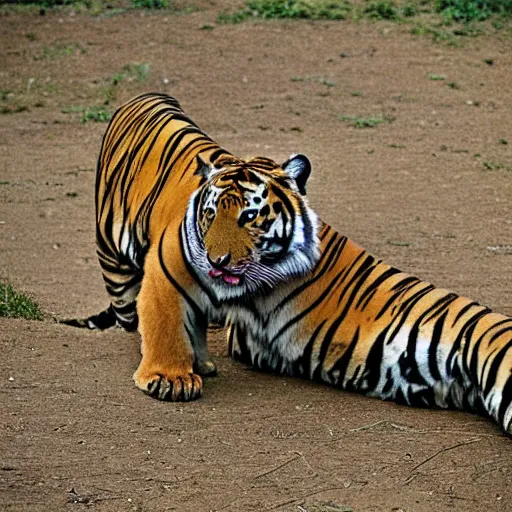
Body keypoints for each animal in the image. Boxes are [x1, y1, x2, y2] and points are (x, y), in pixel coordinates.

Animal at [64, 94, 512, 434]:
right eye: (210, 214)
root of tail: (148, 95)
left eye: (249, 216)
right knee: (128, 311)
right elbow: (165, 321)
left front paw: (186, 369)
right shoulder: (170, 273)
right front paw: (170, 379)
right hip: (114, 261)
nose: (217, 261)